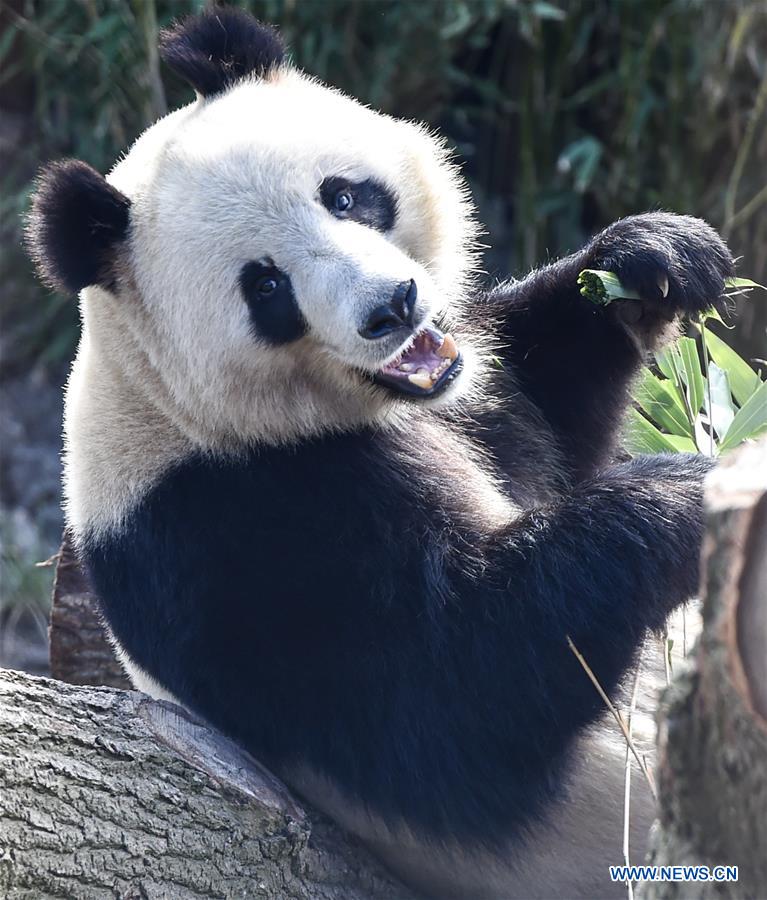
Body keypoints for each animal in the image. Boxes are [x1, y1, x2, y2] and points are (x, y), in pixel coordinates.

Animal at [26, 8, 735, 899]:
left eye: (344, 196)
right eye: (265, 287)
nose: (391, 307)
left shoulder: (482, 404)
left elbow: (550, 401)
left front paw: (651, 258)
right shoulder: (224, 537)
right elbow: (457, 697)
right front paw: (686, 495)